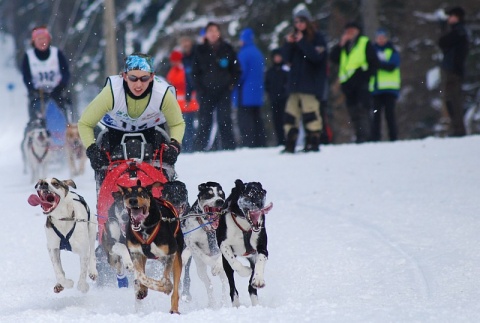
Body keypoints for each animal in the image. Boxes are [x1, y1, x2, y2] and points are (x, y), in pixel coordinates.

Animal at [116, 180, 184, 314]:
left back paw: (174, 309)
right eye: (127, 193)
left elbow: (165, 280)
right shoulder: (135, 253)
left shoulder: (171, 253)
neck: (145, 229)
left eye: (142, 192)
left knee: (176, 291)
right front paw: (142, 288)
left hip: (176, 258)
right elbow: (141, 275)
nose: (132, 200)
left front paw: (166, 286)